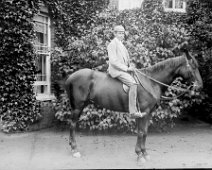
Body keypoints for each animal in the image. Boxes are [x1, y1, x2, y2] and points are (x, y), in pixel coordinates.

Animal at [63, 51, 204, 162]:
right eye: (193, 67)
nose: (200, 86)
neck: (150, 82)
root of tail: (71, 77)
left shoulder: (148, 113)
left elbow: (145, 132)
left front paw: (145, 153)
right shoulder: (142, 113)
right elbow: (140, 132)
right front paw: (139, 155)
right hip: (78, 107)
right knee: (72, 125)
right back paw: (75, 150)